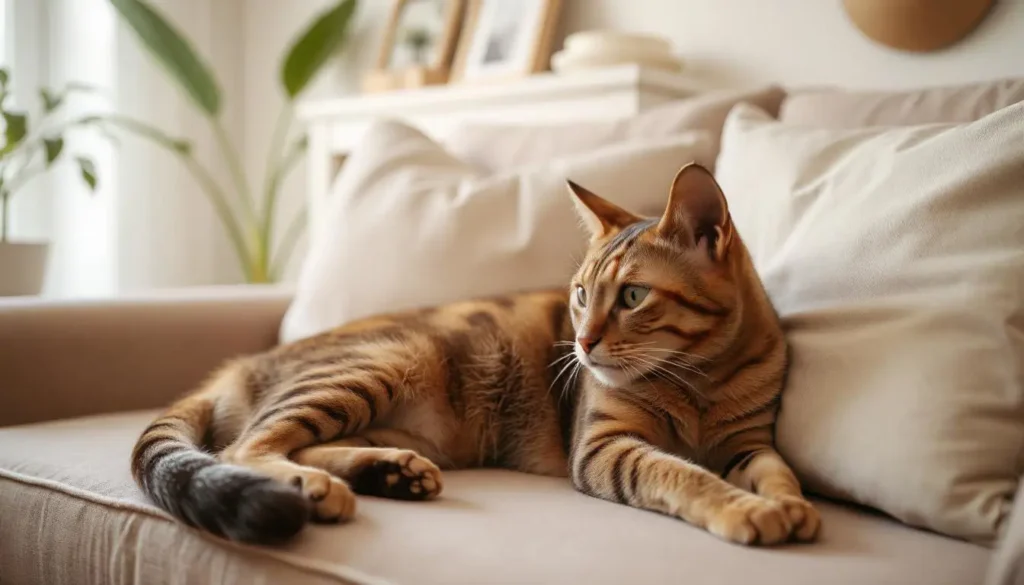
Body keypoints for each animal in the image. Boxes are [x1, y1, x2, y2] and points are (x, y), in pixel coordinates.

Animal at [130, 162, 815, 549]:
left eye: (633, 295)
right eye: (581, 294)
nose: (582, 343)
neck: (704, 382)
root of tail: (235, 369)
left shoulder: (749, 443)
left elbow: (779, 471)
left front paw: (791, 506)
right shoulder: (605, 447)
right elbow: (684, 474)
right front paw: (746, 510)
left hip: (404, 418)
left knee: (295, 443)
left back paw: (388, 473)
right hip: (380, 363)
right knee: (247, 446)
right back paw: (317, 487)